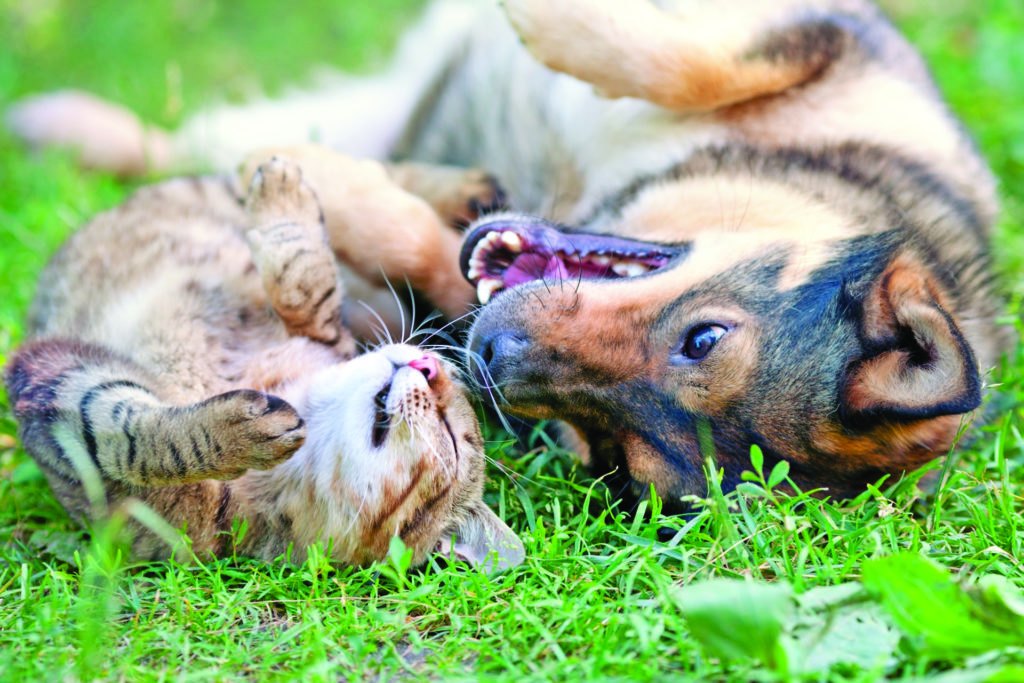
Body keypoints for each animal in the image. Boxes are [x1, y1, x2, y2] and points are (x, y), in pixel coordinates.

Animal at [6, 0, 1007, 509]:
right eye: (705, 338)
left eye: (614, 449)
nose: (488, 355)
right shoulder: (826, 37)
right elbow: (694, 58)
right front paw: (547, 19)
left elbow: (423, 247)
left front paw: (331, 188)